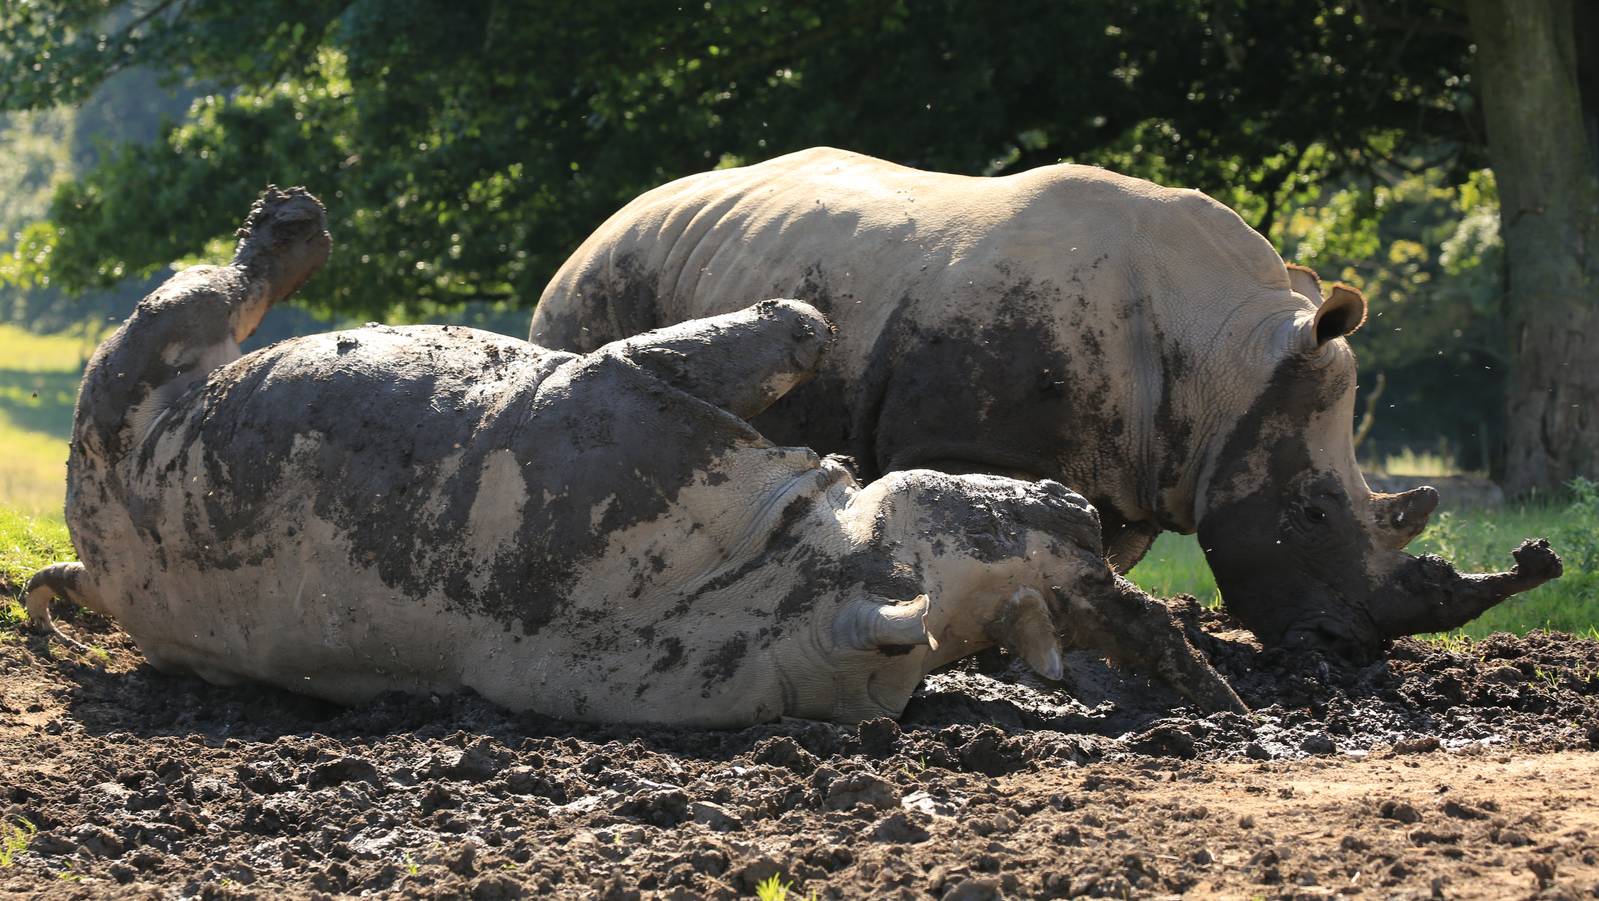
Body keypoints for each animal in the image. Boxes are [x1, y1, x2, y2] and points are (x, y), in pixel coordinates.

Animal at [25, 187, 1244, 727]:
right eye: (999, 538)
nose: (1078, 513)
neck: (758, 581)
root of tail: (96, 553)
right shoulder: (627, 387)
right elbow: (800, 323)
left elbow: (793, 329)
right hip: (140, 371)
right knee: (214, 292)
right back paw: (292, 227)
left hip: (138, 388)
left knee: (213, 298)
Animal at [530, 147, 1561, 658]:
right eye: (1310, 512)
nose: (1350, 649)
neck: (1226, 361)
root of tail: (605, 221)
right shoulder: (971, 441)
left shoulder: (1144, 465)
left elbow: (1090, 550)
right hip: (597, 285)